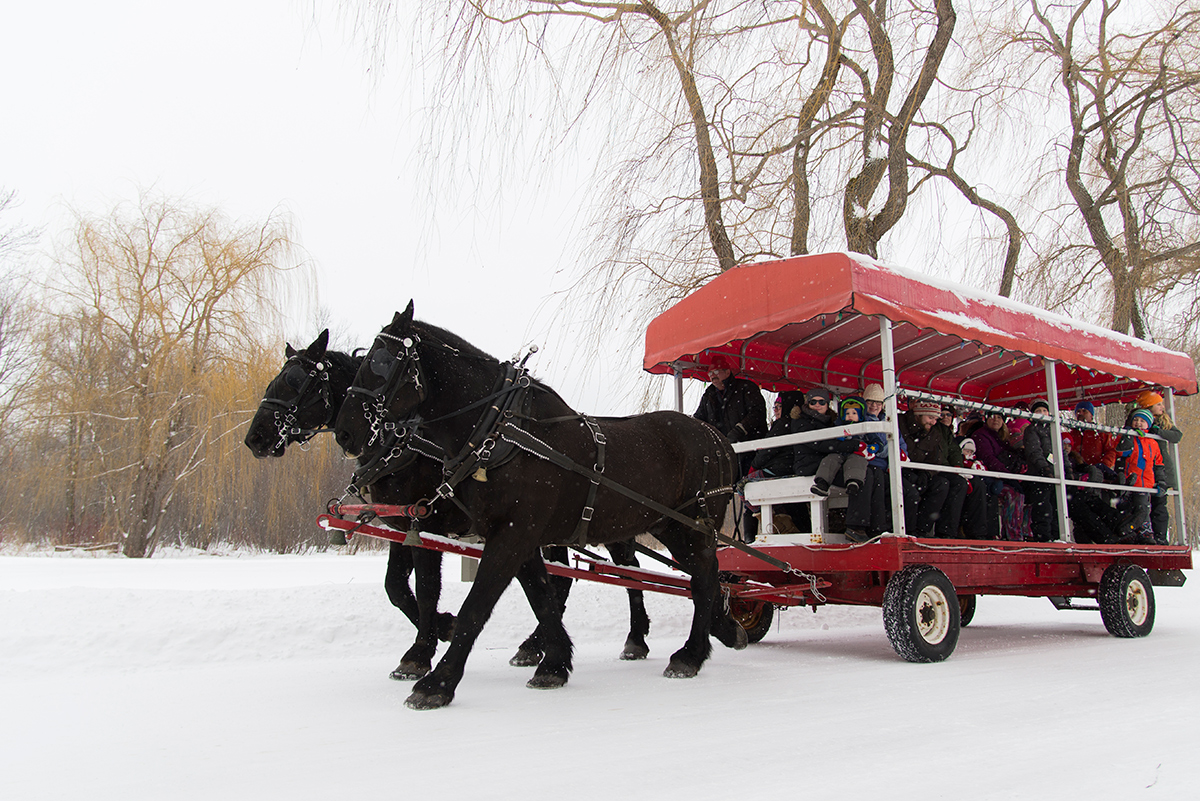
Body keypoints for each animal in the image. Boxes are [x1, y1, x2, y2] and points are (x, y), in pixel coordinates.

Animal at [244, 330, 652, 677]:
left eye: (295, 382)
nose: (255, 439)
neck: (406, 445)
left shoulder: (428, 522)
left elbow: (426, 588)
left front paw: (425, 646)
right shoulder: (403, 523)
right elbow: (396, 587)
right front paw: (441, 628)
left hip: (605, 524)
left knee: (628, 570)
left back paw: (634, 637)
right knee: (562, 580)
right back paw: (535, 645)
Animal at [333, 302, 746, 710]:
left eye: (382, 361)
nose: (345, 432)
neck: (504, 434)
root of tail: (718, 439)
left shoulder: (511, 535)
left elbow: (475, 605)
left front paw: (438, 682)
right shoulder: (516, 536)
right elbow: (541, 597)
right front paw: (554, 663)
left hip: (691, 526)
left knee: (704, 578)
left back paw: (691, 654)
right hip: (668, 527)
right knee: (702, 576)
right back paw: (720, 631)